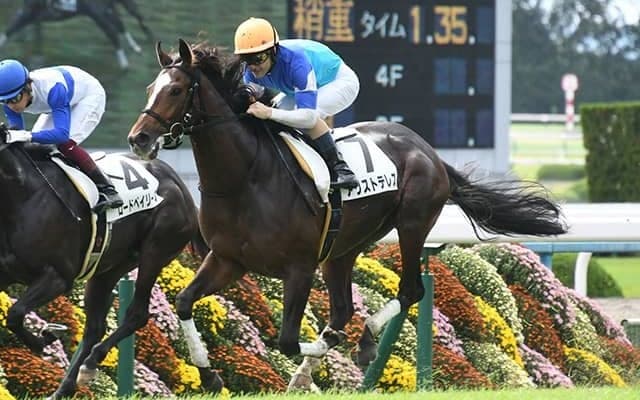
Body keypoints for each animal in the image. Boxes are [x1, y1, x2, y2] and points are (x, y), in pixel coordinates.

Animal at [0, 0, 153, 69]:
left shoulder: (28, 14)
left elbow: (8, 33)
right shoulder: (32, 17)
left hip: (99, 14)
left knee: (114, 33)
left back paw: (125, 64)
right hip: (108, 11)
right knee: (121, 27)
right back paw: (137, 48)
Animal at [0, 125, 221, 399]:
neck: (21, 195)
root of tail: (180, 184)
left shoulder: (57, 277)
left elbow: (15, 313)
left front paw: (44, 339)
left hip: (156, 250)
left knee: (137, 314)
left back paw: (91, 363)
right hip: (107, 268)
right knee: (95, 327)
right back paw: (65, 387)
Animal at [126, 38, 568, 390]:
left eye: (176, 89)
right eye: (149, 88)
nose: (139, 139)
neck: (247, 177)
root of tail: (428, 150)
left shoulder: (299, 267)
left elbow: (287, 340)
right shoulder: (228, 259)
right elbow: (185, 302)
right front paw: (208, 374)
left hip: (411, 224)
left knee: (409, 291)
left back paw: (365, 341)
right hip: (342, 248)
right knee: (343, 308)